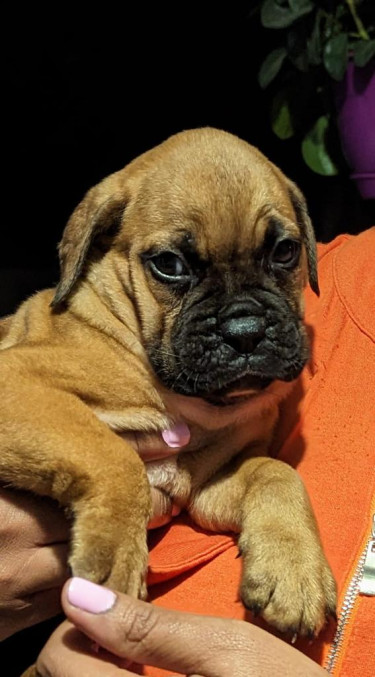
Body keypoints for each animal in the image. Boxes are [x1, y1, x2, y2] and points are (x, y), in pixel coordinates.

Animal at [0, 128, 338, 640]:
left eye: (285, 251)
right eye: (169, 264)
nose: (245, 332)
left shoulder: (210, 483)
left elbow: (275, 472)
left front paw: (294, 570)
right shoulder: (17, 385)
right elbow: (112, 455)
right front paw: (117, 561)